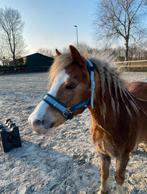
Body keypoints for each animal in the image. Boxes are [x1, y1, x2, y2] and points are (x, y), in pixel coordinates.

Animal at [28, 46, 147, 193]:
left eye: (71, 85)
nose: (34, 121)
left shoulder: (123, 157)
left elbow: (119, 179)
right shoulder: (103, 154)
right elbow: (104, 175)